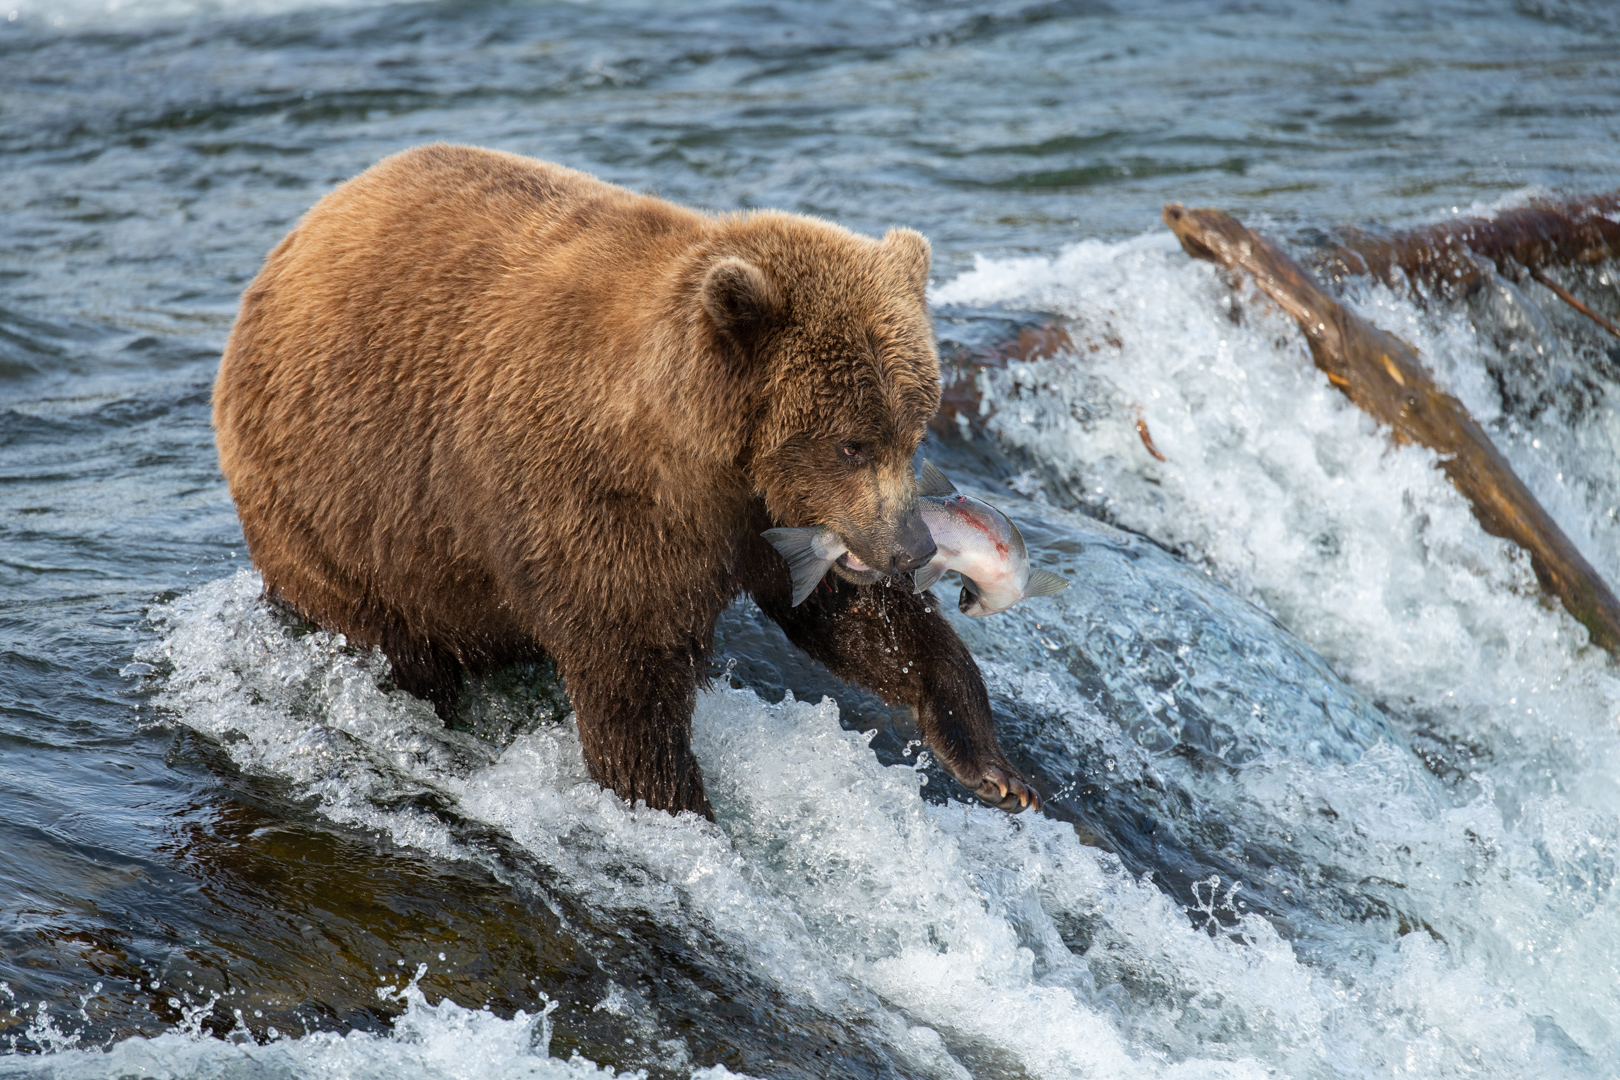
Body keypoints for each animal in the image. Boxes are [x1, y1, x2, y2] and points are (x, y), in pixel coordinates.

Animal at [215, 145, 1036, 819]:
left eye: (913, 430)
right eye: (851, 443)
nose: (912, 548)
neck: (698, 452)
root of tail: (293, 240)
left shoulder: (766, 517)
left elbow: (856, 617)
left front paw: (993, 766)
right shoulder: (593, 500)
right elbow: (629, 676)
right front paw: (678, 809)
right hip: (345, 520)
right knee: (397, 644)